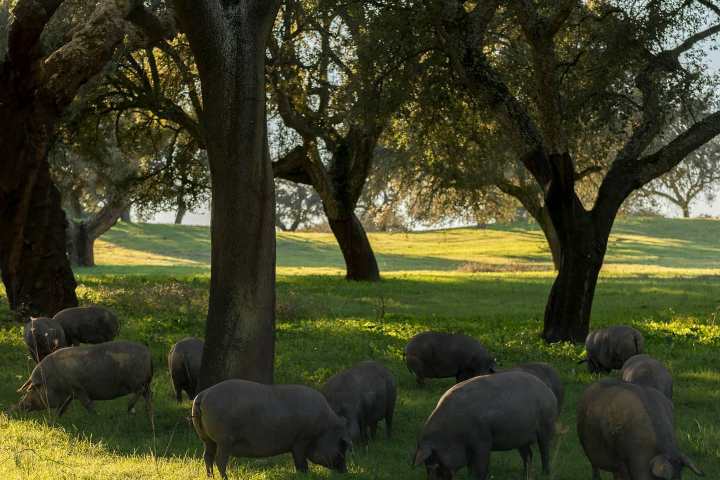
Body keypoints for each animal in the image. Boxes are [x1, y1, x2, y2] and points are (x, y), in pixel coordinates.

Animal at [13, 341, 153, 422]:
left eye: (32, 389)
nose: (16, 406)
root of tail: (148, 354)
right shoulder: (69, 394)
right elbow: (62, 408)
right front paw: (54, 420)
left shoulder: (78, 388)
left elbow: (87, 404)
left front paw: (96, 417)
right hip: (145, 383)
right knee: (149, 395)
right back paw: (148, 414)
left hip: (135, 381)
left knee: (140, 392)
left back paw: (130, 409)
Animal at [192, 379, 351, 480]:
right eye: (342, 445)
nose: (345, 472)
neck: (323, 429)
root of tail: (203, 395)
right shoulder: (301, 440)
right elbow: (301, 463)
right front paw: (305, 475)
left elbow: (299, 463)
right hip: (224, 440)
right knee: (219, 460)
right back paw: (225, 478)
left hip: (207, 439)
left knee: (207, 456)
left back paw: (210, 477)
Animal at [414, 371, 557, 480]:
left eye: (435, 462)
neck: (452, 433)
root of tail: (548, 391)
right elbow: (471, 466)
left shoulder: (482, 441)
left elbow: (480, 465)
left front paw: (478, 477)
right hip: (521, 437)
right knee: (528, 455)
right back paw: (525, 475)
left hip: (546, 424)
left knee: (544, 451)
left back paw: (545, 473)